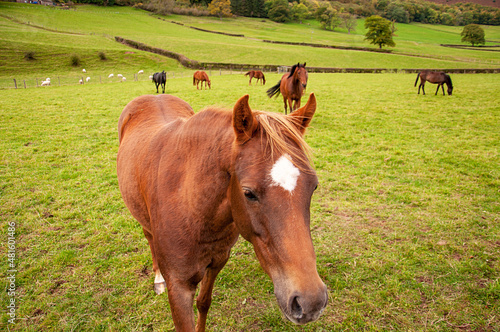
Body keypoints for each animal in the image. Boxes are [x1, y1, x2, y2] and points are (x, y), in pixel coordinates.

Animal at [117, 92, 328, 332]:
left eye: (314, 186)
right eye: (248, 193)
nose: (311, 302)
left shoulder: (218, 261)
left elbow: (204, 303)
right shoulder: (178, 287)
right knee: (149, 236)